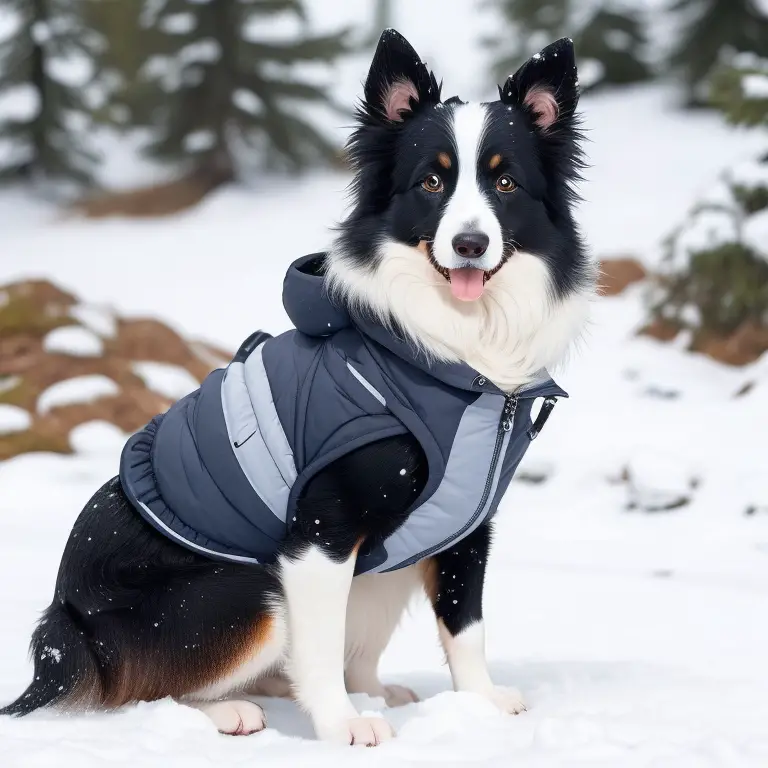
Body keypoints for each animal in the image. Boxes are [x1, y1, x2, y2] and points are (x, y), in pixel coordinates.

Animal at [1, 30, 592, 744]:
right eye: (431, 181)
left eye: (506, 182)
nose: (471, 244)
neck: (445, 352)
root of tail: (66, 622)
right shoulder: (319, 532)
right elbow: (321, 643)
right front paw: (342, 724)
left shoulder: (465, 524)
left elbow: (465, 625)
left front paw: (476, 703)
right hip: (247, 591)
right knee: (136, 692)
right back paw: (231, 709)